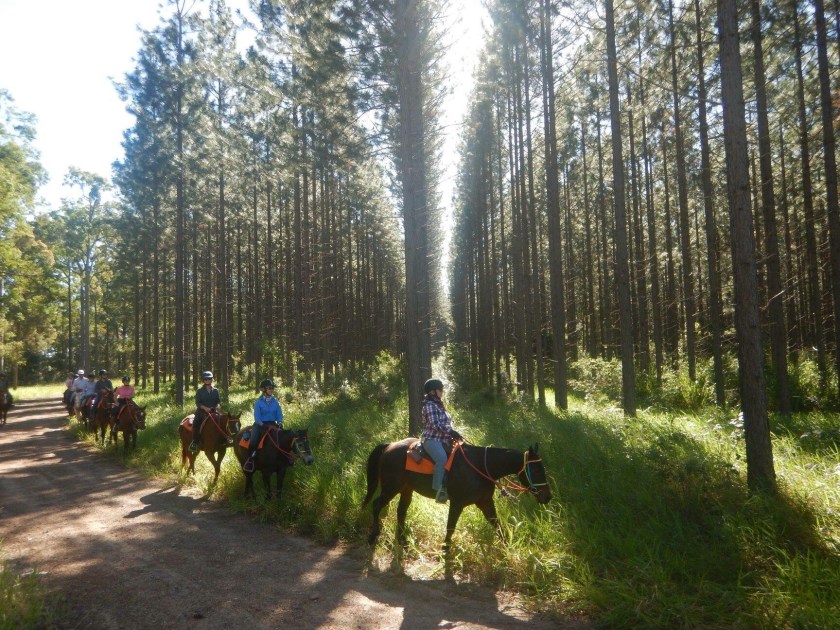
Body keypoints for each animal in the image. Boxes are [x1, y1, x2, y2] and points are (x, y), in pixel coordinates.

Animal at [363, 438, 551, 571]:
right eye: (536, 469)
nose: (547, 496)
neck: (480, 466)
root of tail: (389, 446)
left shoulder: (485, 502)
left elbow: (497, 526)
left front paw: (507, 551)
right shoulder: (457, 504)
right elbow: (451, 527)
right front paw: (445, 551)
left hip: (406, 490)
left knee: (401, 511)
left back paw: (403, 542)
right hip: (390, 488)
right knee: (376, 505)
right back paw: (373, 536)